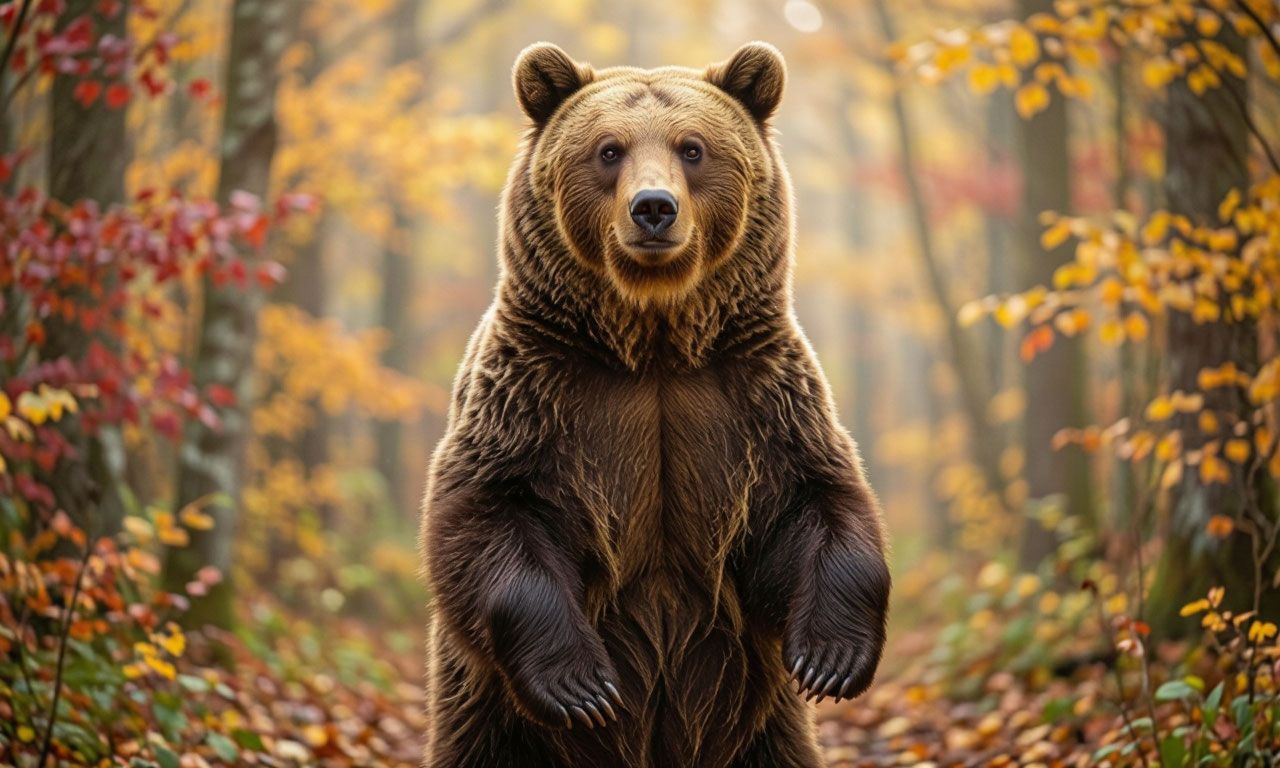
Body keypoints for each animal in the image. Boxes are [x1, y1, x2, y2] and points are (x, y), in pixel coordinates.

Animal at [420, 41, 890, 768]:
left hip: (763, 725)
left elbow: (813, 501)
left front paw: (831, 660)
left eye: (692, 148)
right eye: (608, 149)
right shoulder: (532, 393)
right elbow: (487, 512)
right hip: (491, 719)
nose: (653, 208)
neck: (654, 341)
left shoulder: (756, 394)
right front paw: (582, 687)